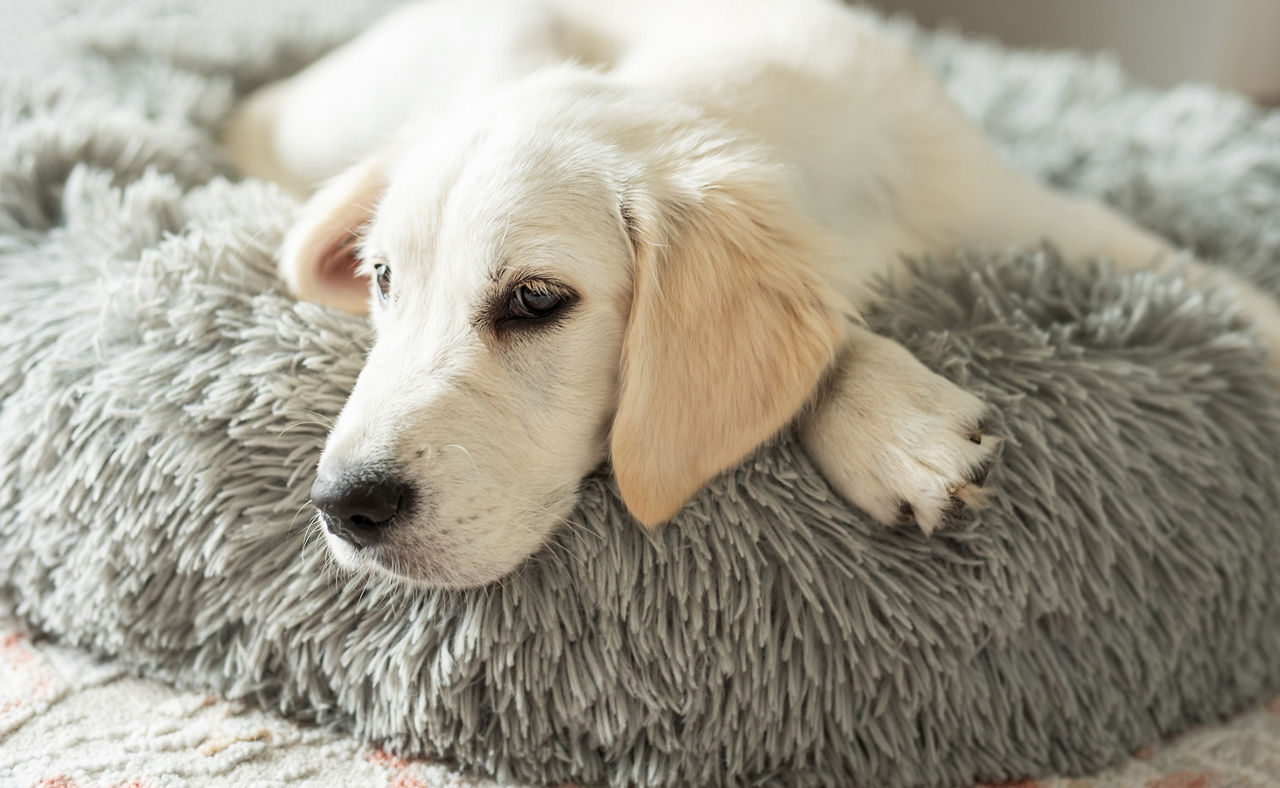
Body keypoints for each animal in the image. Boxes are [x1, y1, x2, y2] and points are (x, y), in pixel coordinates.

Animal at [225, 0, 1280, 588]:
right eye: (383, 281)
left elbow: (1216, 286)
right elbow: (830, 331)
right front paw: (897, 426)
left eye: (534, 300)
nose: (342, 508)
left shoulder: (1033, 212)